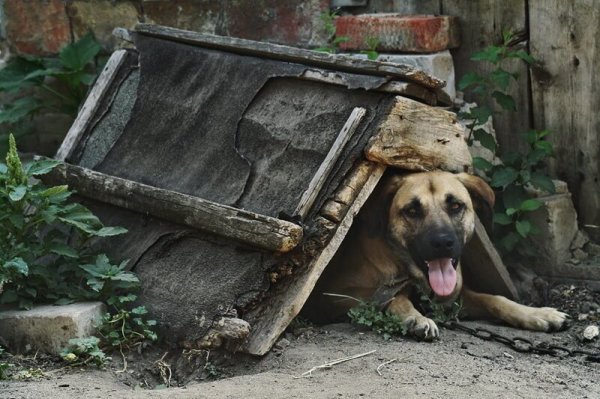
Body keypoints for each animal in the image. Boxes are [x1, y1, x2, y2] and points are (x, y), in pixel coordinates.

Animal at [304, 170, 568, 340]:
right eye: (412, 210)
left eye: (456, 206)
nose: (442, 243)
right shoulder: (332, 298)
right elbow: (393, 297)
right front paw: (415, 317)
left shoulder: (454, 297)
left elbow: (496, 299)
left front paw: (537, 313)